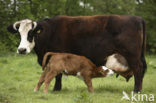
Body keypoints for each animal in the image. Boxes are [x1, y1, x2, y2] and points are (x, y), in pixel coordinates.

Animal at [6, 15, 147, 92]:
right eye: (19, 34)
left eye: (31, 33)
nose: (21, 50)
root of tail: (137, 18)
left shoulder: (58, 55)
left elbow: (58, 75)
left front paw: (56, 89)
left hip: (132, 56)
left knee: (138, 70)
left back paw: (136, 91)